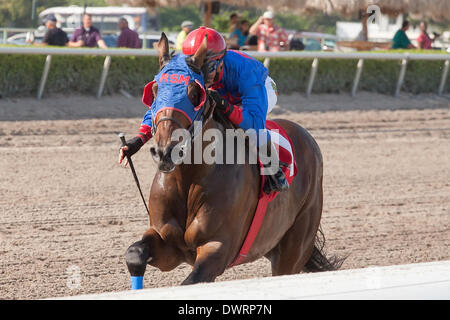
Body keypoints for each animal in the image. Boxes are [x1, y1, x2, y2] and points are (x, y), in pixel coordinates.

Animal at [124, 33, 342, 286]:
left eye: (194, 93)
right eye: (155, 89)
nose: (165, 151)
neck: (190, 177)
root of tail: (307, 138)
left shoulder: (217, 250)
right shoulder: (166, 243)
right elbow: (135, 254)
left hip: (293, 249)